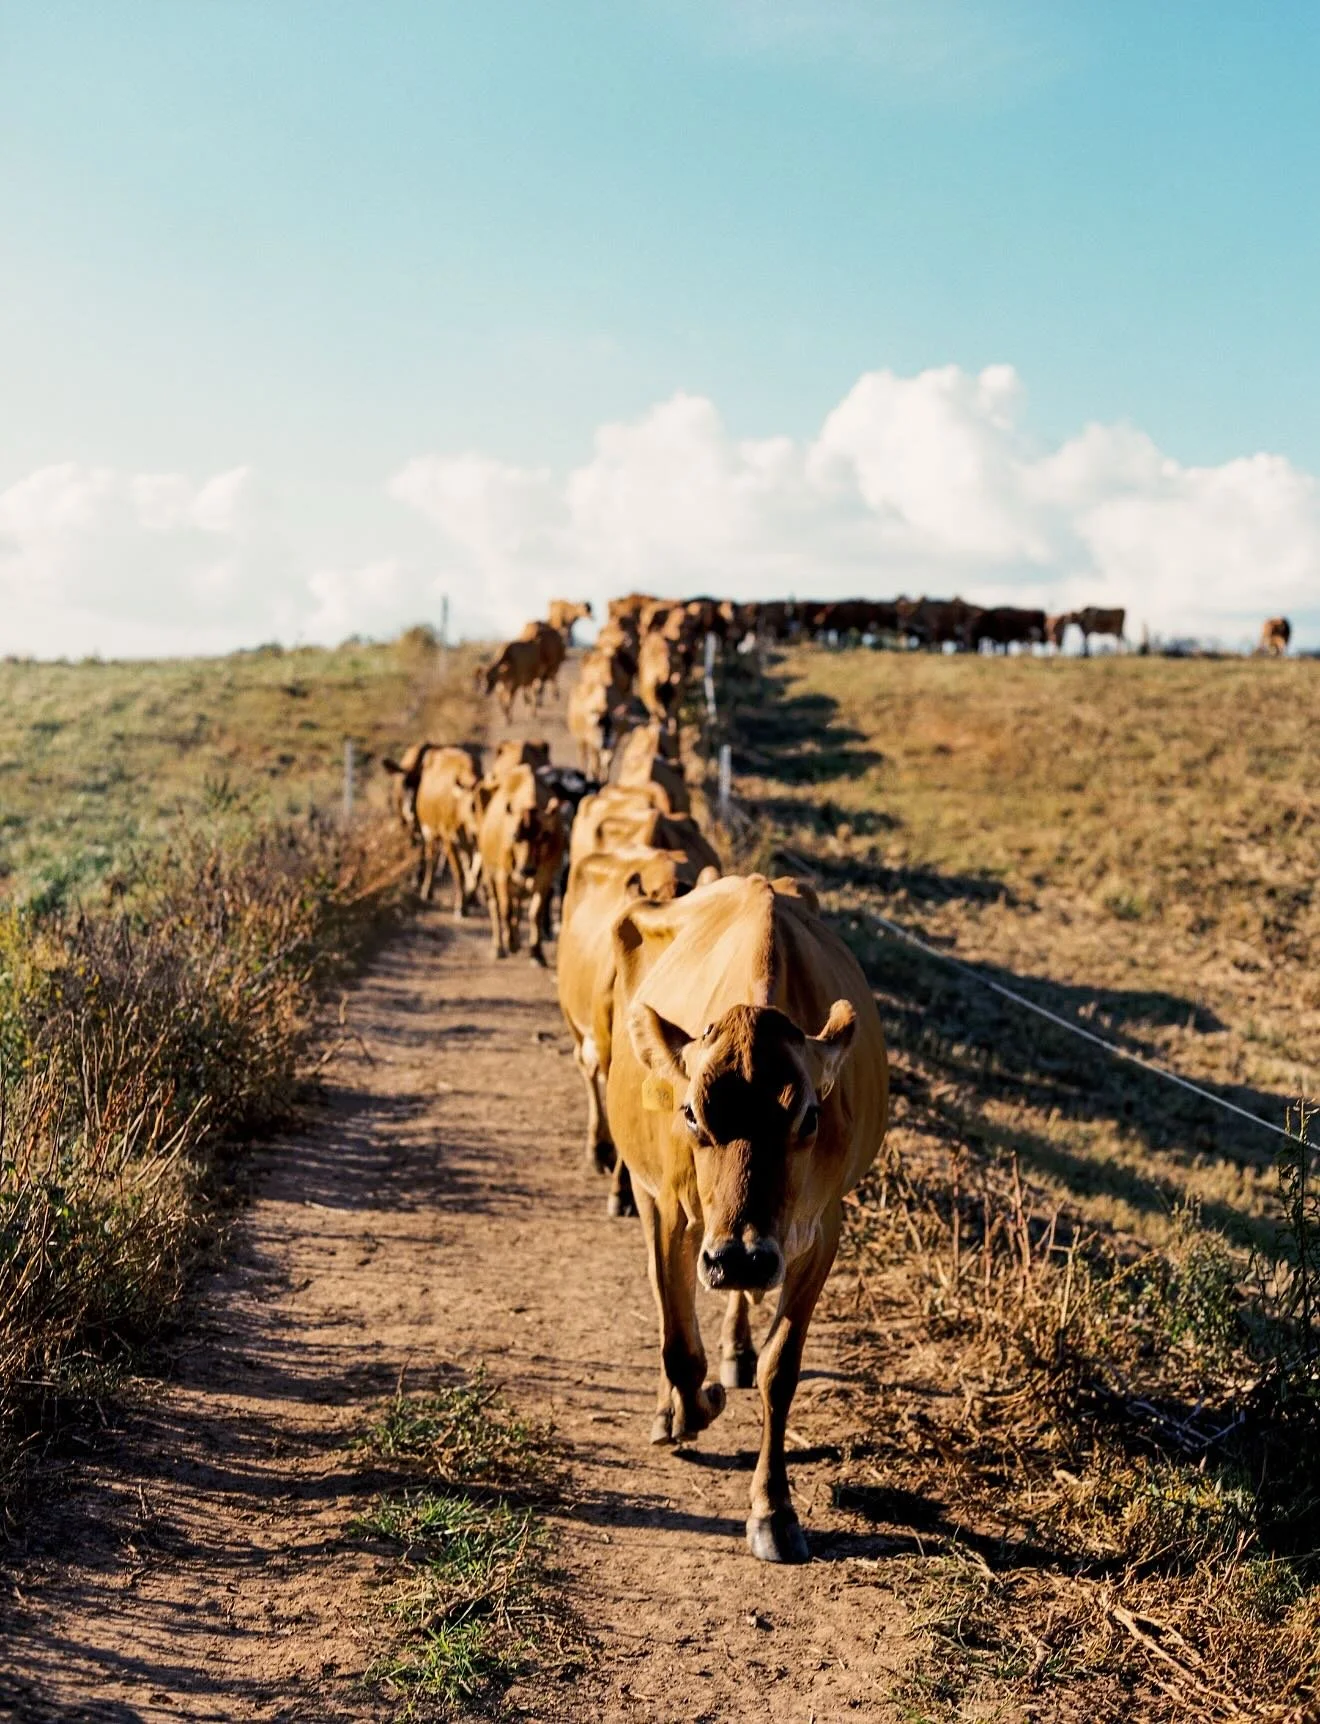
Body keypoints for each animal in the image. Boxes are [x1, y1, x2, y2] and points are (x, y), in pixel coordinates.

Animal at [476, 763, 567, 963]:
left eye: (545, 836)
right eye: (515, 836)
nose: (527, 869)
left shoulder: (544, 877)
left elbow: (535, 913)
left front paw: (537, 953)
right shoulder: (503, 875)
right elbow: (506, 910)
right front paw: (510, 943)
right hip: (488, 872)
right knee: (495, 906)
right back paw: (499, 946)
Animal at [599, 872, 888, 1563]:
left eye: (808, 1116)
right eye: (690, 1114)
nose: (740, 1257)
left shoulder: (820, 1228)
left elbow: (779, 1369)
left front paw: (773, 1510)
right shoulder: (668, 1209)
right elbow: (679, 1344)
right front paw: (690, 1407)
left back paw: (733, 1345)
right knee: (672, 1309)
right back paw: (674, 1405)